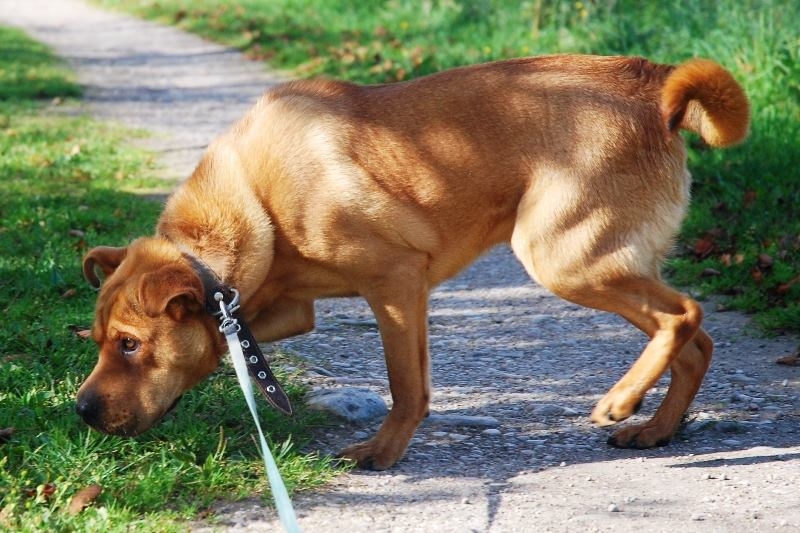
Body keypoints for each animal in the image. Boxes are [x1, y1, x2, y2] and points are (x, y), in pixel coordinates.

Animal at [78, 55, 748, 470]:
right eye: (96, 341)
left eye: (131, 345)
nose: (80, 411)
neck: (249, 202)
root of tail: (654, 84)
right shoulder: (288, 309)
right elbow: (225, 340)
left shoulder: (396, 285)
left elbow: (405, 386)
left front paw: (384, 451)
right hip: (598, 264)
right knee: (696, 341)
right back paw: (655, 429)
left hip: (564, 258)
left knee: (684, 315)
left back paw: (621, 400)